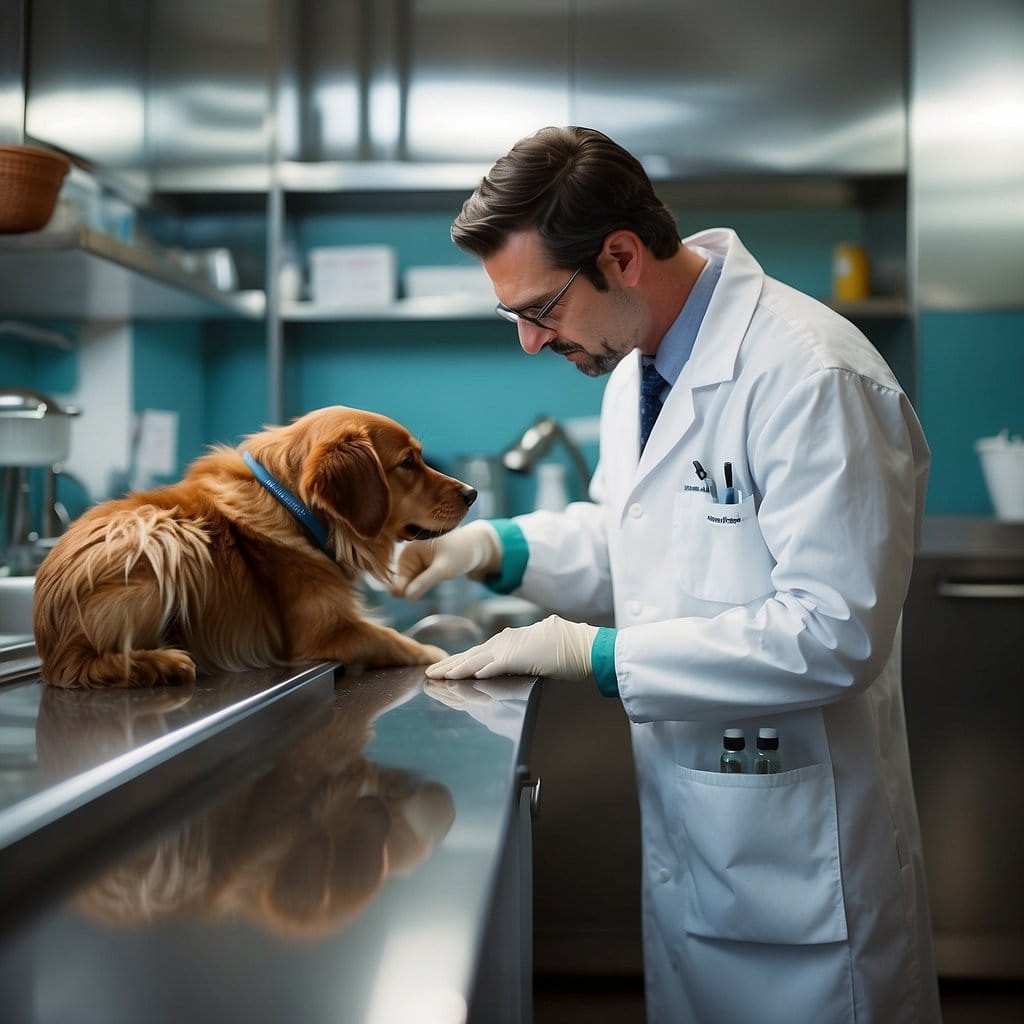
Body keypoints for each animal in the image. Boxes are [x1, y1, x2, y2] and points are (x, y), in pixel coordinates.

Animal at [33, 405, 475, 688]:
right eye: (408, 462)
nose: (472, 493)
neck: (295, 510)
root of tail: (47, 636)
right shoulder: (325, 634)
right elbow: (395, 639)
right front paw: (439, 654)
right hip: (167, 535)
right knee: (81, 665)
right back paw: (161, 663)